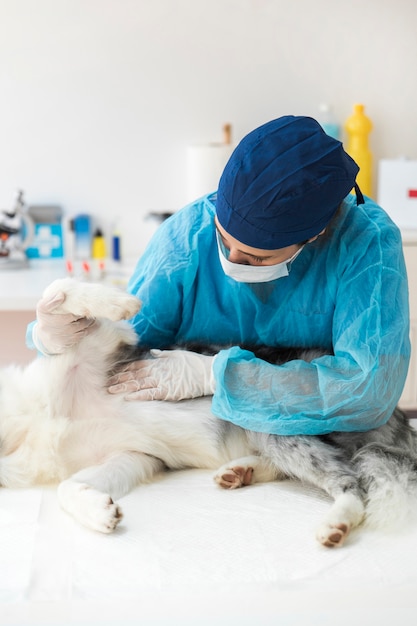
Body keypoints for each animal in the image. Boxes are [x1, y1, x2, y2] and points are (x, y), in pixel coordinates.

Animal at [0, 278, 416, 544]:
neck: (27, 425)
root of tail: (391, 415)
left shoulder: (104, 348)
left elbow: (58, 292)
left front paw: (118, 301)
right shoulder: (135, 457)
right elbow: (67, 487)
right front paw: (101, 512)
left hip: (279, 419)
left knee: (351, 481)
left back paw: (336, 522)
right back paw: (241, 472)